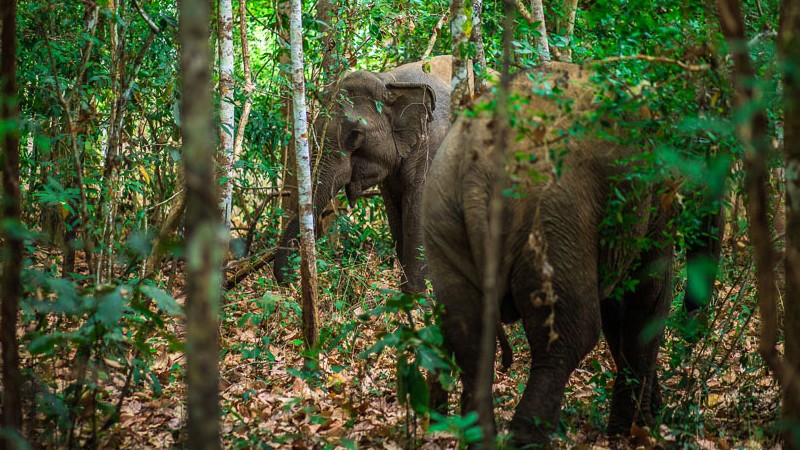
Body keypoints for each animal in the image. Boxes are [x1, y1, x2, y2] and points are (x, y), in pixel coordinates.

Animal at [274, 54, 462, 294]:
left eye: (355, 135)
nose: (291, 281)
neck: (390, 81)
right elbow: (395, 210)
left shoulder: (435, 146)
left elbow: (418, 210)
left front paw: (416, 299)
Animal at [422, 61, 720, 444]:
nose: (693, 329)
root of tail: (476, 170)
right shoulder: (651, 196)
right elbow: (648, 296)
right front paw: (636, 433)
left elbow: (618, 310)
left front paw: (644, 422)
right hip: (552, 222)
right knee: (570, 338)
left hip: (443, 215)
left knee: (470, 338)